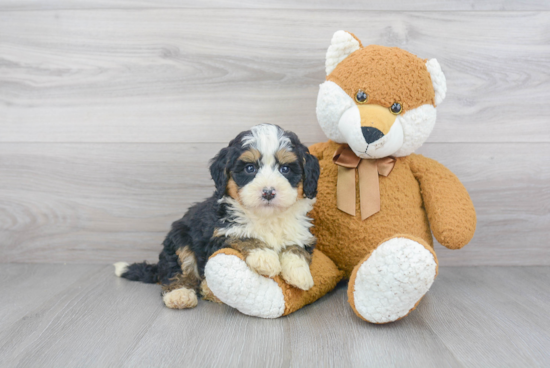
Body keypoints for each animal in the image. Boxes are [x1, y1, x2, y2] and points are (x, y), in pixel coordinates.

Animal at [115, 125, 324, 310]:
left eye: (285, 169)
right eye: (250, 168)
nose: (268, 192)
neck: (266, 217)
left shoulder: (301, 233)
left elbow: (296, 248)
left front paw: (300, 274)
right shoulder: (217, 234)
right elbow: (242, 236)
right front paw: (264, 257)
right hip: (179, 239)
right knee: (177, 270)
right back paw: (180, 294)